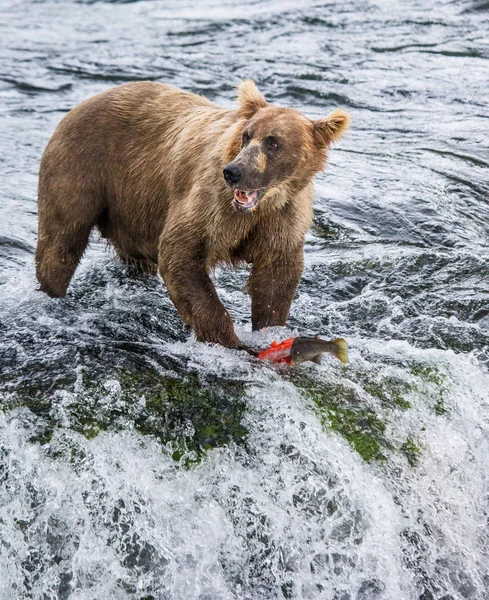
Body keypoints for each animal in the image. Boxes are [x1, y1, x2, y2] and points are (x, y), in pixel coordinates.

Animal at [36, 82, 348, 350]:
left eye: (274, 143)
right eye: (247, 136)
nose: (234, 172)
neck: (262, 205)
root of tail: (83, 103)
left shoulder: (282, 220)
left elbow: (276, 278)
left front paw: (269, 329)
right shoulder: (211, 205)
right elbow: (181, 254)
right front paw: (229, 340)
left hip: (130, 211)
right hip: (82, 168)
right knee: (61, 241)